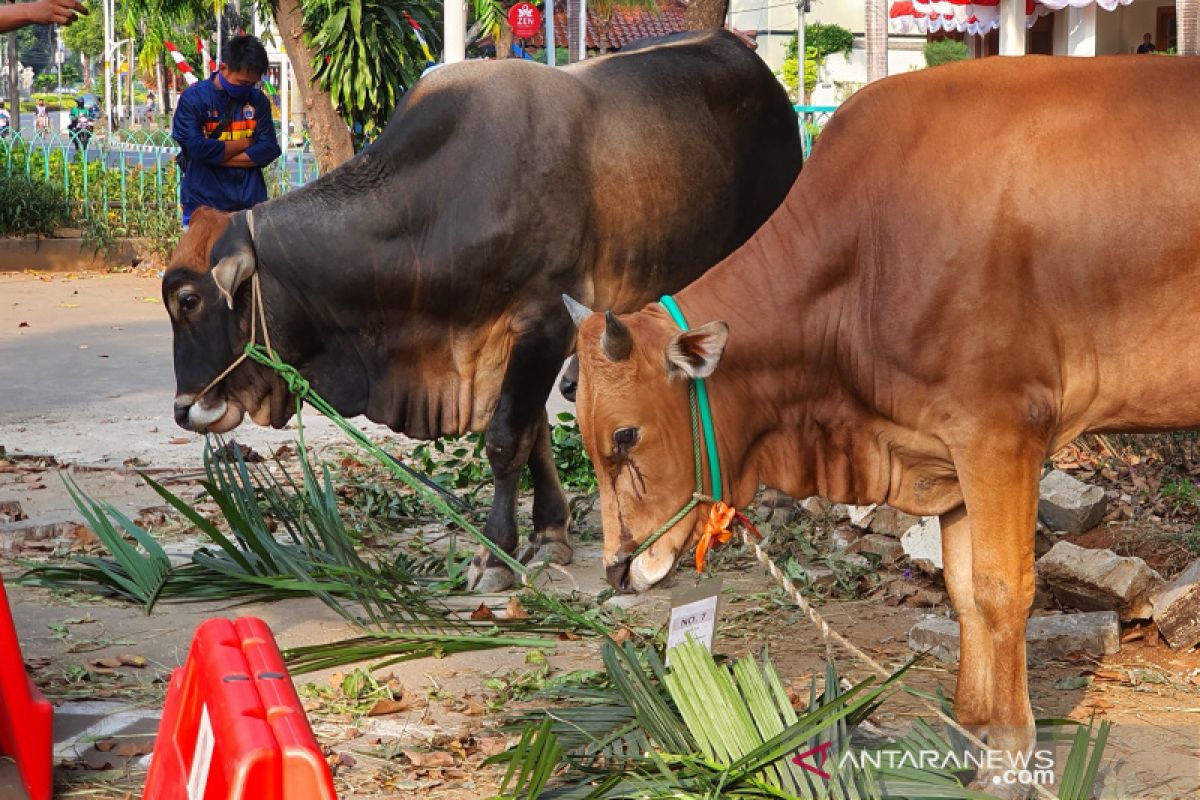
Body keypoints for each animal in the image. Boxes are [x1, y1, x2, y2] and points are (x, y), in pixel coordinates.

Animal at [566, 56, 1200, 782]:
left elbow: (1002, 589)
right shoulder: (947, 452)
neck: (864, 257)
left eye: (625, 435)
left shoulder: (1001, 434)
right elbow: (961, 591)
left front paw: (1008, 757)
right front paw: (971, 732)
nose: (616, 571)